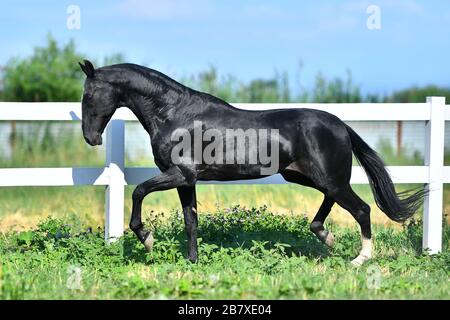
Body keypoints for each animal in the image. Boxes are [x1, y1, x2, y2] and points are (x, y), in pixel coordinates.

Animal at [78, 60, 426, 264]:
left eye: (89, 95)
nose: (91, 138)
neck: (176, 114)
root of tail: (341, 125)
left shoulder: (179, 174)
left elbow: (139, 191)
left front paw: (147, 240)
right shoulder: (187, 180)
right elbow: (191, 220)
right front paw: (192, 261)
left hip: (327, 178)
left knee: (362, 209)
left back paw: (360, 259)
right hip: (305, 176)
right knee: (334, 201)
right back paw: (326, 236)